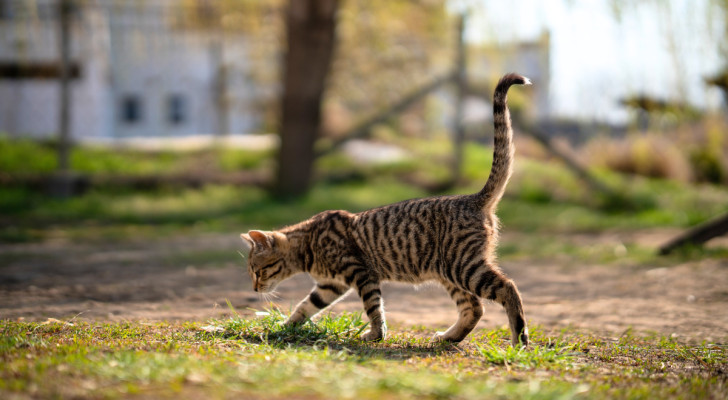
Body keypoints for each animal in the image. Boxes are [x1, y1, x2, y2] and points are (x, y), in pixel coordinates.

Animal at [242, 72, 532, 346]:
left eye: (257, 270)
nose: (254, 289)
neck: (309, 244)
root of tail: (474, 198)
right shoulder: (329, 286)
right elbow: (304, 307)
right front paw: (283, 328)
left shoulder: (361, 274)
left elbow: (373, 309)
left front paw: (375, 335)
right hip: (450, 273)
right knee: (474, 308)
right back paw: (448, 338)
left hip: (464, 267)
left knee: (508, 288)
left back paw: (519, 339)